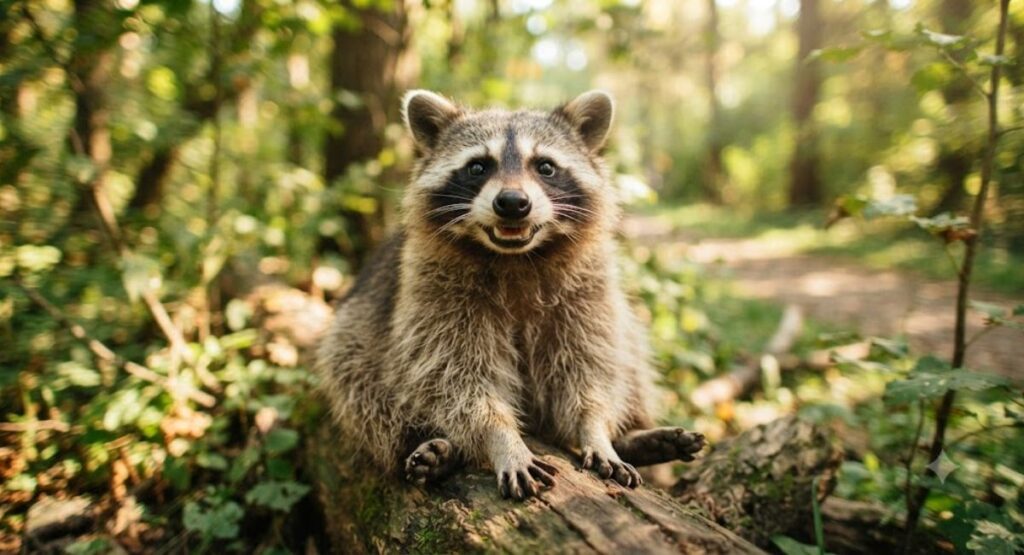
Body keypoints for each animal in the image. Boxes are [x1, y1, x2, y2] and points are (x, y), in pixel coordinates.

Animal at [316, 90, 705, 500]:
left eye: (546, 167)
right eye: (477, 167)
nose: (513, 203)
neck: (516, 257)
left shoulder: (587, 290)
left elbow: (589, 366)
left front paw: (595, 429)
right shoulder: (433, 296)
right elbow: (455, 376)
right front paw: (501, 437)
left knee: (631, 350)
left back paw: (632, 435)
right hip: (358, 326)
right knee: (361, 383)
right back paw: (439, 448)